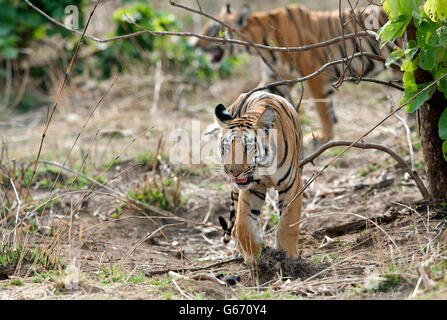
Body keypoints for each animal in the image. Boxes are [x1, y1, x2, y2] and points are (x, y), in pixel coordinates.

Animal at [196, 3, 396, 142]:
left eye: (213, 30)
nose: (195, 44)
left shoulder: (314, 73)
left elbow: (323, 109)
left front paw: (324, 137)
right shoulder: (278, 78)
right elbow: (250, 97)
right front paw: (214, 128)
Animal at [209, 91, 304, 262]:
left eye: (247, 147)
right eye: (226, 147)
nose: (233, 171)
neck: (264, 165)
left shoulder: (292, 184)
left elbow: (289, 221)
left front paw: (288, 255)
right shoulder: (251, 187)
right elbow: (243, 224)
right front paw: (256, 257)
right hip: (235, 190)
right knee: (234, 225)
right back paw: (239, 252)